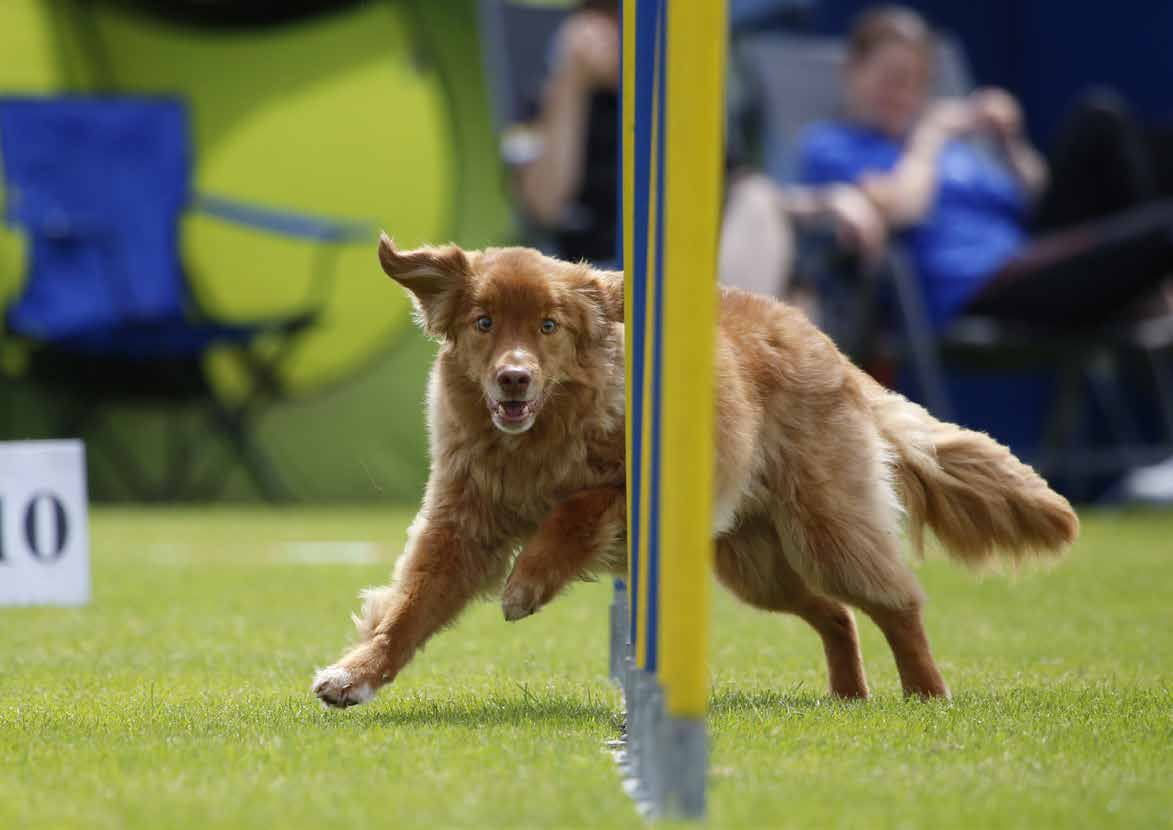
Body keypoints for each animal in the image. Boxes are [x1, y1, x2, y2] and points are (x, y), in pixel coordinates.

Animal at [309, 233, 1074, 708]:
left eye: (550, 326)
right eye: (483, 322)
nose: (513, 381)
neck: (536, 443)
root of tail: (823, 340)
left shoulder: (627, 491)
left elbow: (578, 507)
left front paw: (527, 582)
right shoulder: (460, 527)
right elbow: (406, 611)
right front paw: (354, 676)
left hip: (824, 528)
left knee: (894, 602)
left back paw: (924, 692)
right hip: (752, 561)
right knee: (833, 614)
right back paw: (847, 695)